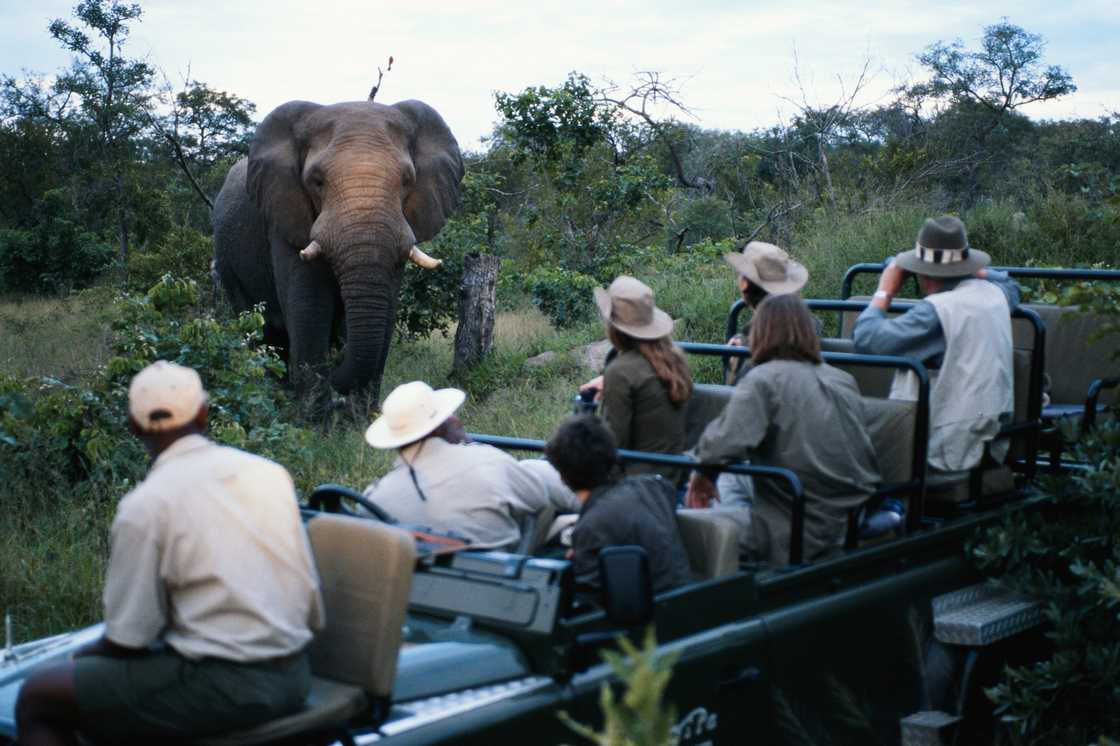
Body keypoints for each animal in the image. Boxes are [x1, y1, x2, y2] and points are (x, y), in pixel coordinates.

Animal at [212, 98, 464, 400]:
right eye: (316, 181)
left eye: (406, 180)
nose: (335, 366)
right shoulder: (284, 219)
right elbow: (309, 309)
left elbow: (386, 313)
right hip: (227, 261)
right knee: (262, 332)